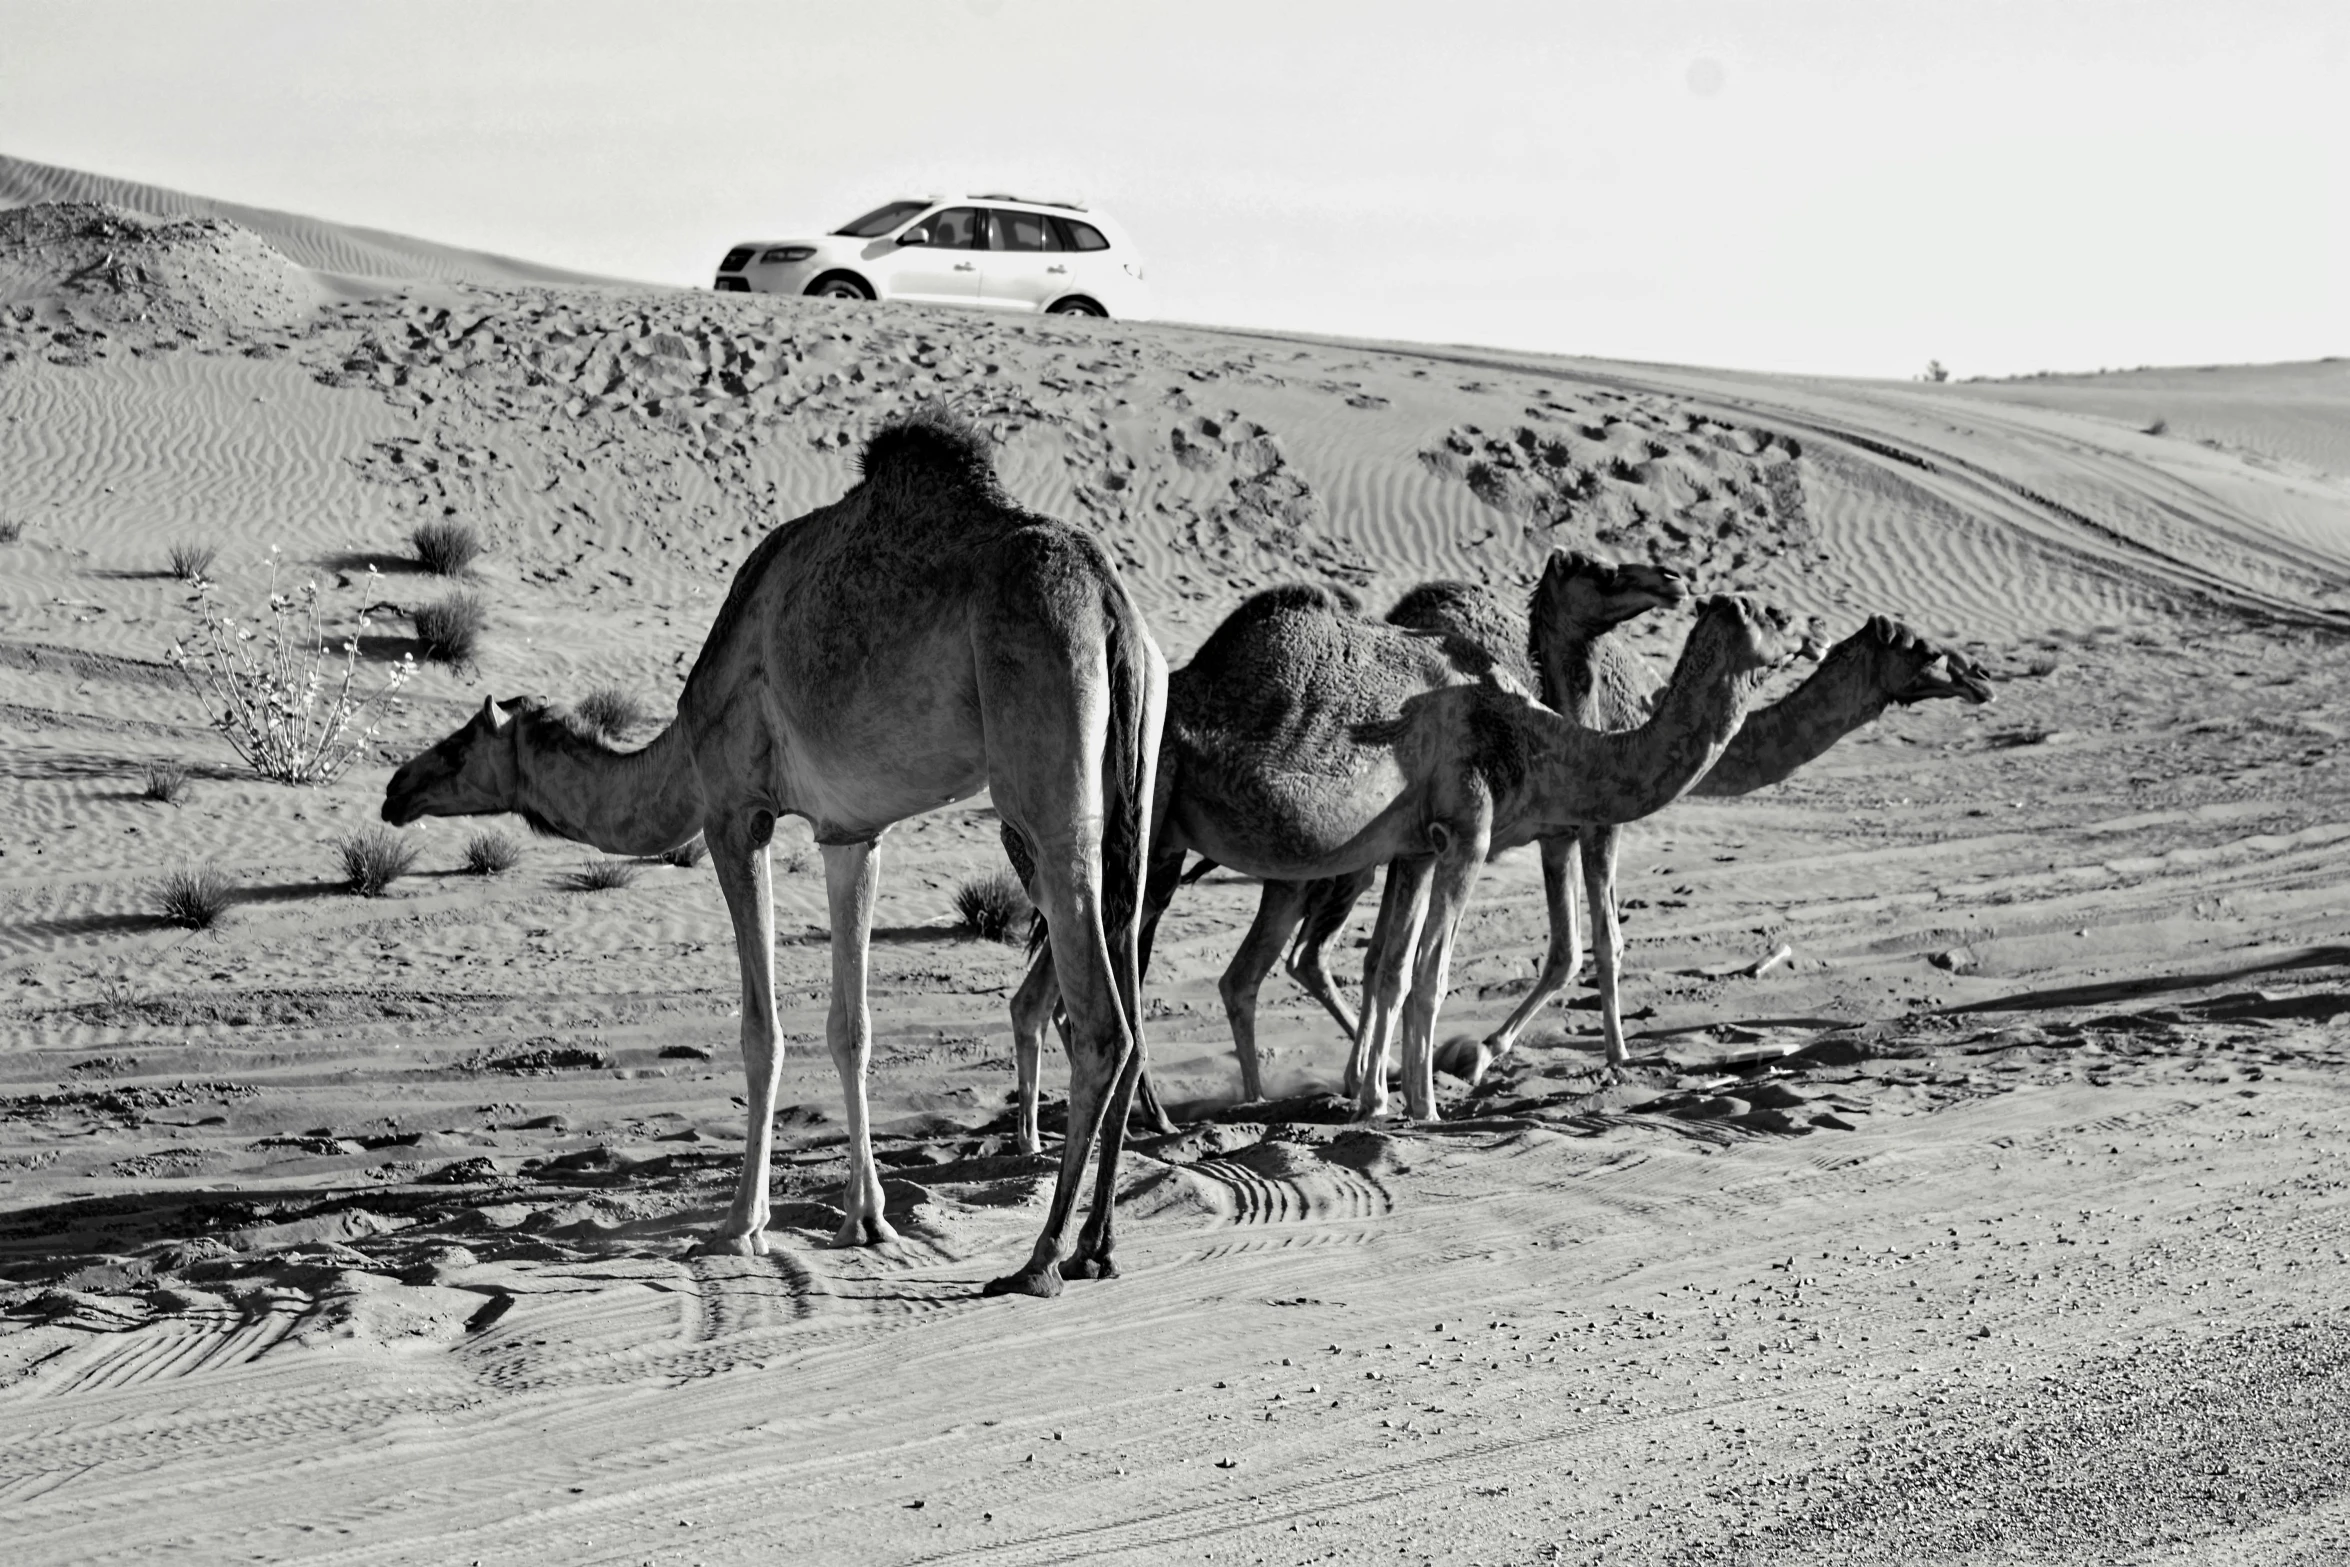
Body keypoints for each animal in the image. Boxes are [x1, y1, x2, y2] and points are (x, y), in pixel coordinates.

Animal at [378, 413, 1175, 1296]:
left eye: (456, 747)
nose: (395, 789)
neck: (681, 750)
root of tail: (1107, 603)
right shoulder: (852, 833)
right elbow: (851, 1026)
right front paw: (867, 1219)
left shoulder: (734, 814)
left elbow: (762, 1031)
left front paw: (741, 1225)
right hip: (1135, 783)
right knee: (1133, 1002)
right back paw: (1098, 1245)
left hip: (1043, 770)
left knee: (1101, 1022)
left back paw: (1040, 1257)